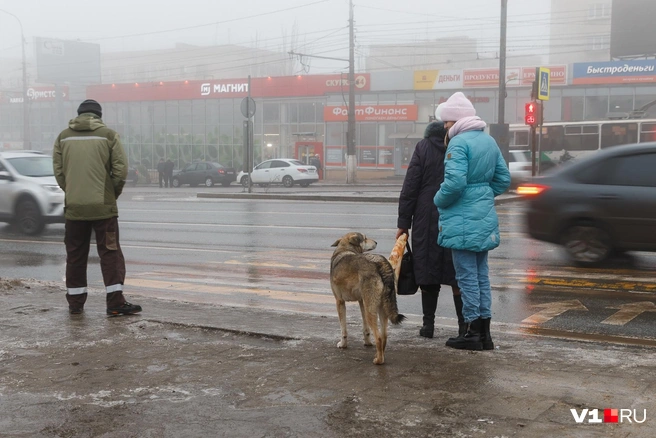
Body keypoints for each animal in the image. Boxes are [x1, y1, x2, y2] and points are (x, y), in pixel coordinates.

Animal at [328, 231, 404, 364]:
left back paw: (378, 361)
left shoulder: (339, 302)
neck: (344, 249)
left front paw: (343, 344)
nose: (377, 242)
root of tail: (381, 262)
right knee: (384, 336)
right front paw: (367, 343)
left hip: (371, 311)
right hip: (380, 310)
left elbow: (343, 329)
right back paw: (380, 355)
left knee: (378, 337)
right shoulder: (361, 302)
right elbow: (366, 329)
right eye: (365, 238)